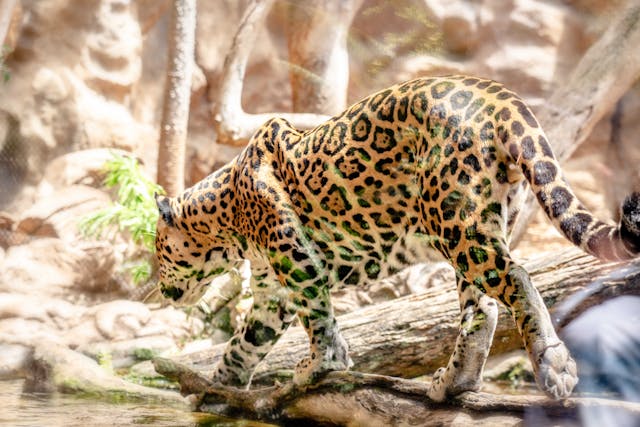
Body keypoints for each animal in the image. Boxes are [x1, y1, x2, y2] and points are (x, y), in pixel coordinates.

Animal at [154, 75, 640, 402]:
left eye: (158, 254)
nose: (159, 289)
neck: (225, 217)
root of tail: (503, 97)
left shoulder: (295, 258)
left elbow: (318, 320)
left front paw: (318, 367)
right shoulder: (272, 291)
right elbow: (242, 346)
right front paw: (213, 390)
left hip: (458, 224)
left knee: (516, 279)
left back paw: (552, 365)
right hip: (474, 225)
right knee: (481, 310)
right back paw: (452, 383)